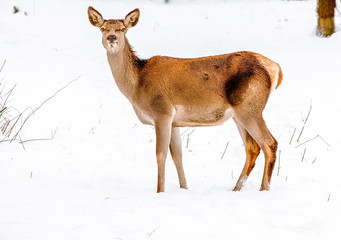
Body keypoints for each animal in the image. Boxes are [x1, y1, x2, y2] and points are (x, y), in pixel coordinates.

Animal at [87, 6, 282, 193]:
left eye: (123, 29)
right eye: (103, 28)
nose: (112, 37)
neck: (136, 86)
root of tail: (276, 69)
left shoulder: (162, 112)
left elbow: (160, 155)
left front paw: (160, 191)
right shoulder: (174, 121)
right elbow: (178, 156)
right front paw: (184, 189)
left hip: (250, 107)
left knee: (269, 143)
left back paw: (264, 189)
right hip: (239, 114)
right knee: (252, 148)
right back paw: (236, 189)